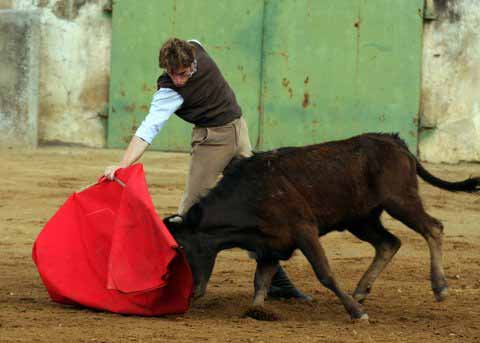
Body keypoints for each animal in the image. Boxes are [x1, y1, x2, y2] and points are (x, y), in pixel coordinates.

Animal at [163, 133, 478, 322]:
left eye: (182, 247)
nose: (189, 294)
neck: (249, 195)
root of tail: (394, 140)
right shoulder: (270, 246)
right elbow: (260, 281)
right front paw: (257, 311)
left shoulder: (304, 231)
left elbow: (324, 272)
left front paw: (356, 313)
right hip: (361, 219)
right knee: (389, 243)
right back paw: (361, 290)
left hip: (400, 200)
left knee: (433, 228)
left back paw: (440, 287)